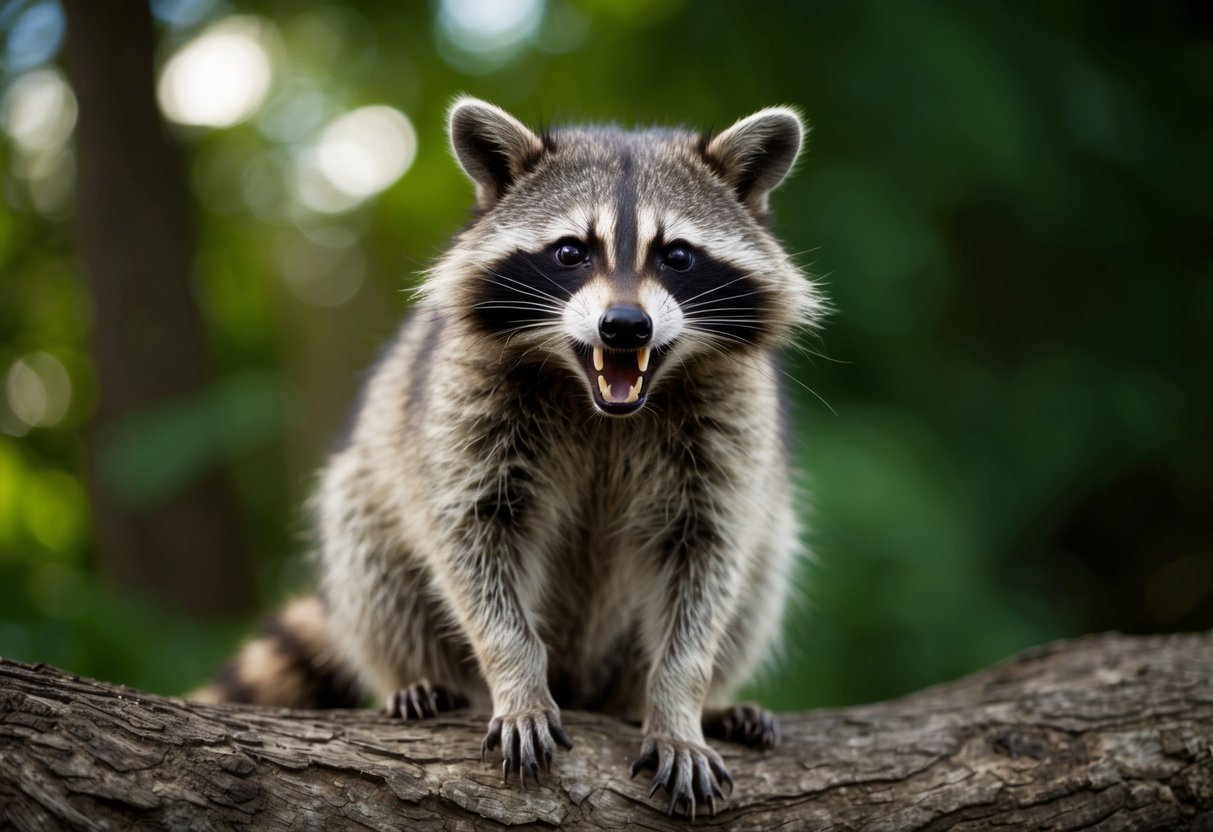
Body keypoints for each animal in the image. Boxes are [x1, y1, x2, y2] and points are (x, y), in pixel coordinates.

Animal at [199, 98, 822, 818]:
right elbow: (473, 543)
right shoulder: (466, 405)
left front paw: (679, 705)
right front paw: (516, 678)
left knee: (761, 566)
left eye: (677, 256)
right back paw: (422, 678)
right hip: (371, 486)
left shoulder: (729, 428)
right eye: (571, 252)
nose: (625, 326)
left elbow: (707, 562)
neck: (603, 405)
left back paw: (699, 703)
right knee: (369, 549)